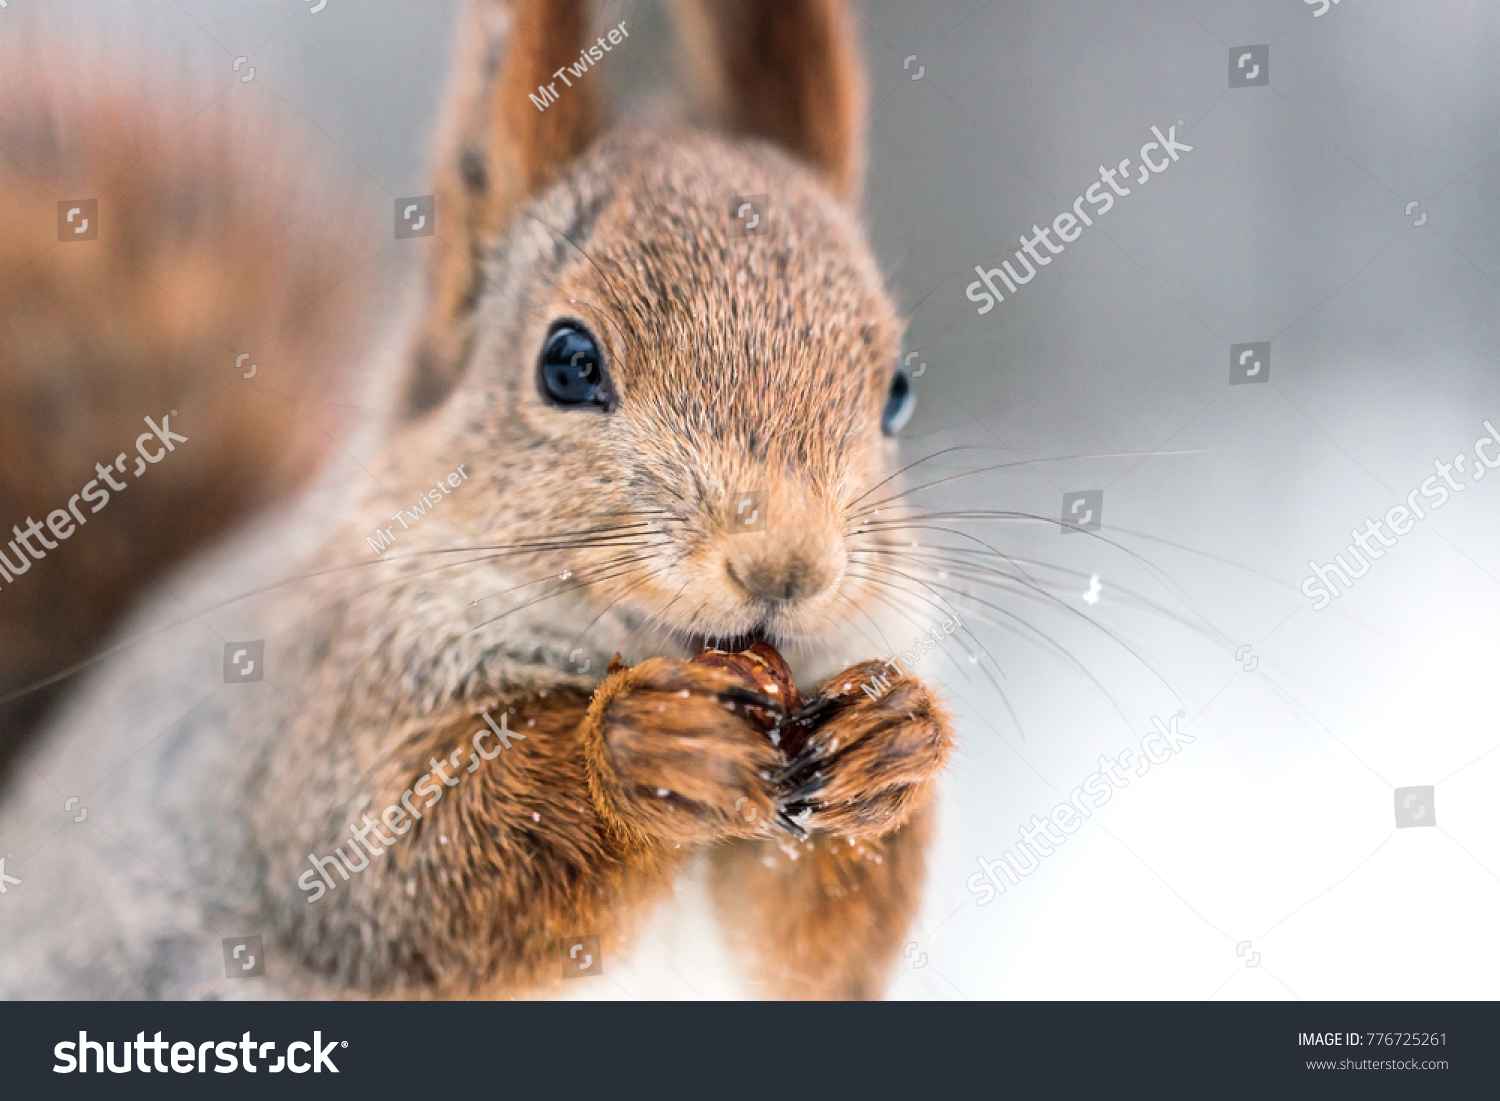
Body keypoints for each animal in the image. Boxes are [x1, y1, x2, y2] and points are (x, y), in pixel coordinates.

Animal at [0, 0, 954, 1001]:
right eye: (568, 364)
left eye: (898, 392)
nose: (788, 567)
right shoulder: (308, 731)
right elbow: (412, 865)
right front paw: (636, 745)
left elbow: (821, 940)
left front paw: (894, 740)